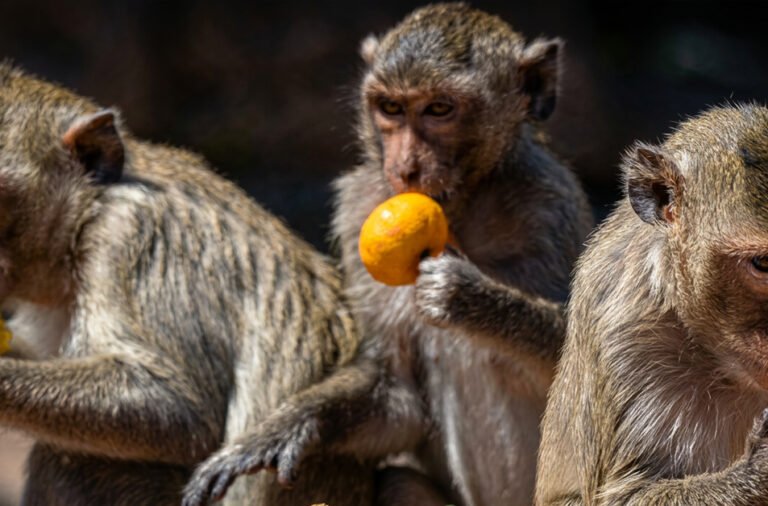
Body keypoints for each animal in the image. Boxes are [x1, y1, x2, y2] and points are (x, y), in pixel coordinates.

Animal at [182, 4, 592, 506]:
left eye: (439, 109)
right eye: (391, 108)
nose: (406, 168)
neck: (464, 207)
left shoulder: (550, 206)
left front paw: (466, 295)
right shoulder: (359, 207)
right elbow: (398, 398)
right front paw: (281, 431)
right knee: (398, 478)